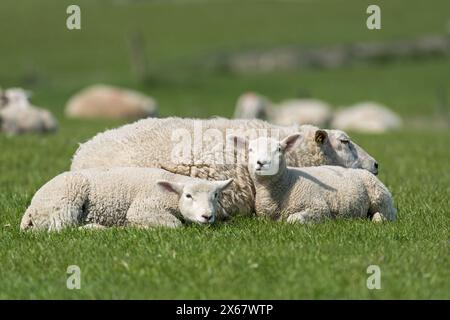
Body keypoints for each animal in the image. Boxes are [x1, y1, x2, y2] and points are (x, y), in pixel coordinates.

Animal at [19, 166, 234, 231]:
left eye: (215, 195)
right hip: (66, 201)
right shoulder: (143, 208)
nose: (207, 216)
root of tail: (30, 210)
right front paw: (138, 227)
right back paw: (95, 228)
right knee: (62, 230)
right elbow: (175, 225)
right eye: (188, 196)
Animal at [230, 134, 396, 224]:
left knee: (388, 214)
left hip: (379, 197)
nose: (262, 162)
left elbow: (293, 220)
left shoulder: (318, 208)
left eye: (279, 149)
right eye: (250, 150)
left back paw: (376, 219)